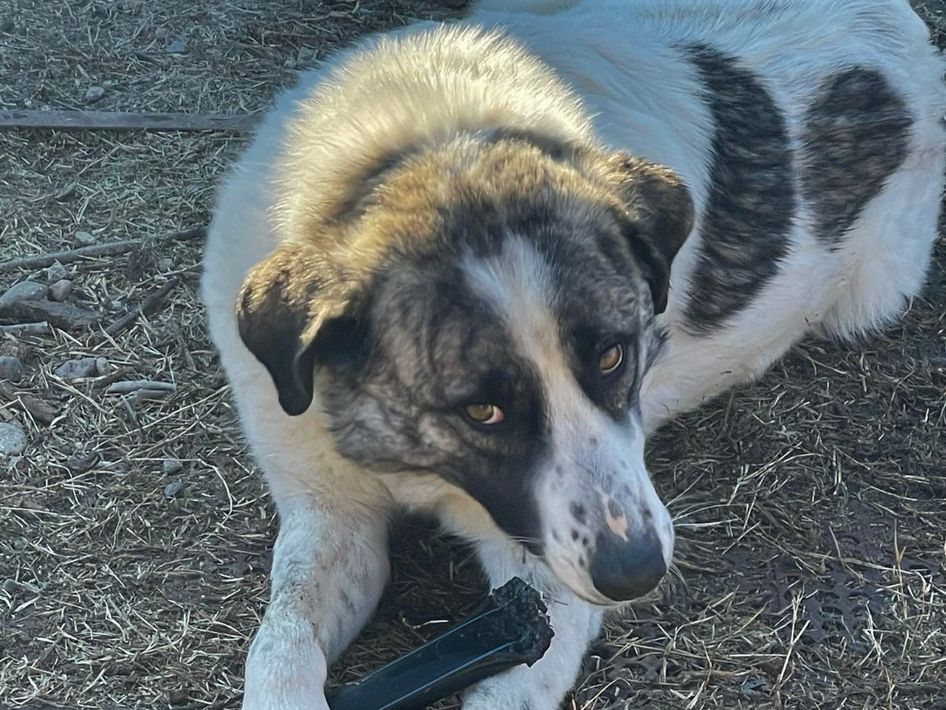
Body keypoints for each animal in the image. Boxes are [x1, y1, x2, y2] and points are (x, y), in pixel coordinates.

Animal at [201, 1, 945, 707]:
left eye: (614, 357)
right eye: (482, 410)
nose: (637, 574)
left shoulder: (545, 582)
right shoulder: (330, 516)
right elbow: (282, 643)